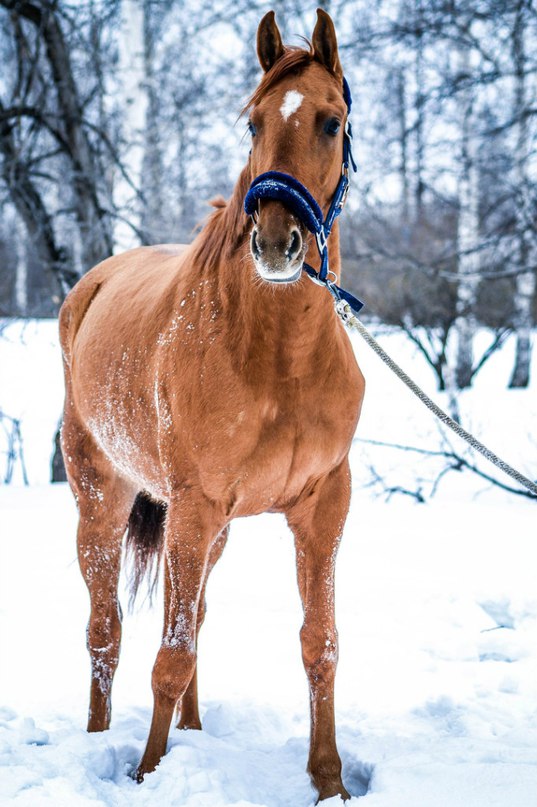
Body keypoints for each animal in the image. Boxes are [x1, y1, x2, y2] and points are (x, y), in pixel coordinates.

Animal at [58, 6, 364, 800]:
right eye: (253, 122)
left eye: (330, 121)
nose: (278, 242)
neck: (276, 359)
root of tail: (92, 284)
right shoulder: (191, 508)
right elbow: (167, 656)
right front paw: (146, 771)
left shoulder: (322, 506)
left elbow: (319, 643)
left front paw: (329, 779)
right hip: (105, 504)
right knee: (106, 629)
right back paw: (100, 742)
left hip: (209, 530)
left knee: (190, 613)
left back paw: (192, 735)